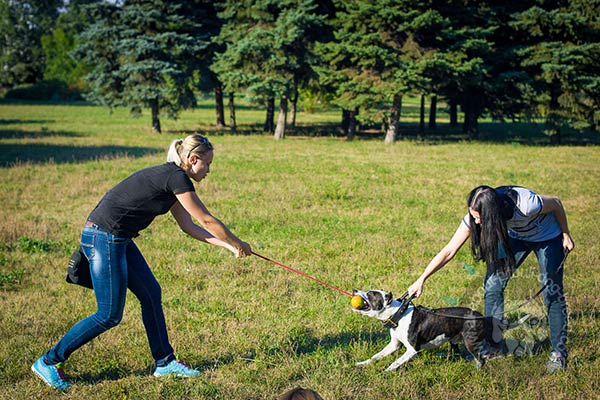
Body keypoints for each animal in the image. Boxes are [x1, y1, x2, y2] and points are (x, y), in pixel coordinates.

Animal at [352, 290, 528, 372]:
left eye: (370, 293)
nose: (354, 290)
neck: (398, 313)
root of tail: (482, 316)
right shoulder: (394, 345)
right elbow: (376, 356)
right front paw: (362, 363)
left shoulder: (412, 350)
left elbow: (396, 361)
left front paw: (386, 371)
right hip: (455, 339)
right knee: (457, 353)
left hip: (470, 341)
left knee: (481, 358)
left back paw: (478, 371)